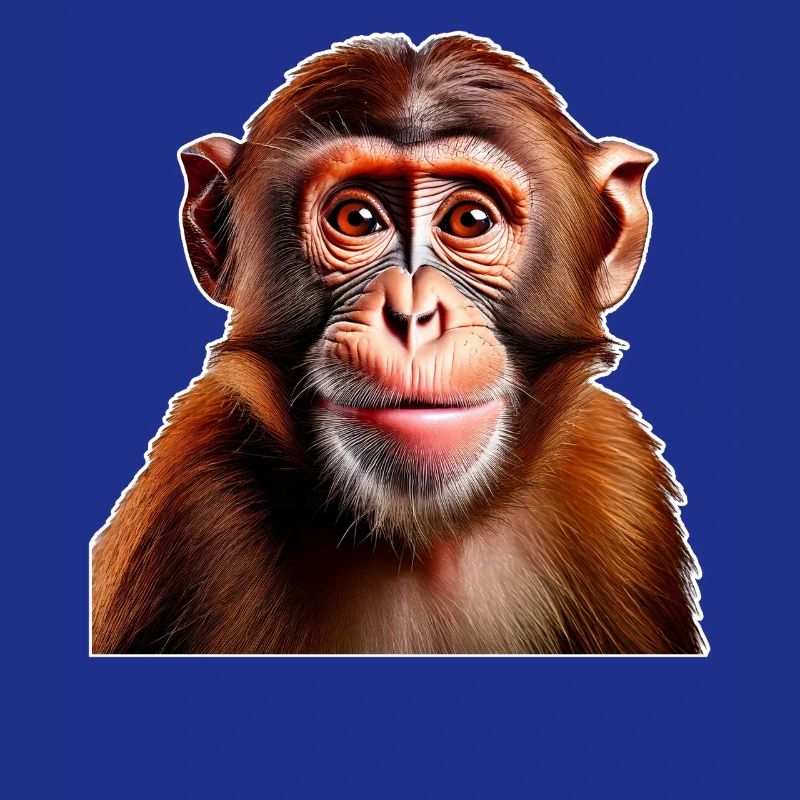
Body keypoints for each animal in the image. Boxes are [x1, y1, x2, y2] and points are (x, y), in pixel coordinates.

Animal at [91, 33, 706, 655]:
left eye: (470, 219)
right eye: (356, 219)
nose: (412, 314)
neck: (422, 541)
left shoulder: (619, 476)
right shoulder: (191, 505)